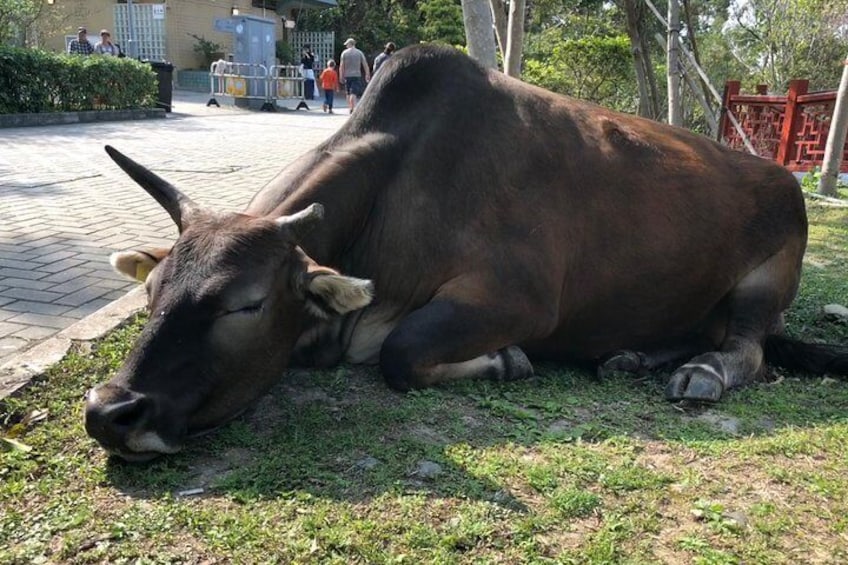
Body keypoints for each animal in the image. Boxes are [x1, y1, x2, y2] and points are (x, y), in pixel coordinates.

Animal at [83, 43, 844, 458]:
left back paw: (700, 372)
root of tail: (781, 175)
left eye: (246, 304)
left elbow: (399, 353)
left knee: (747, 350)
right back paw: (630, 357)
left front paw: (505, 360)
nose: (111, 410)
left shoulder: (517, 300)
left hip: (764, 283)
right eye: (151, 292)